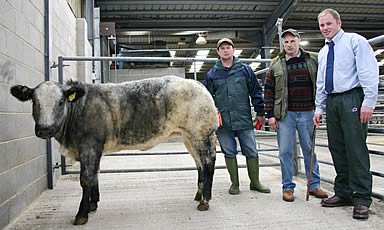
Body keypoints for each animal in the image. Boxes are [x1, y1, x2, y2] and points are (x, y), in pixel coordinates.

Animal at [9, 75, 219, 225]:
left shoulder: (89, 145)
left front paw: (82, 214)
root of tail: (197, 84)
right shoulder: (93, 149)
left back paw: (205, 200)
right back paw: (198, 195)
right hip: (188, 138)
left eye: (61, 102)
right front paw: (93, 204)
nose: (45, 129)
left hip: (200, 134)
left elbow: (86, 178)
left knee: (208, 162)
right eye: (34, 102)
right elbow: (95, 174)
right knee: (199, 164)